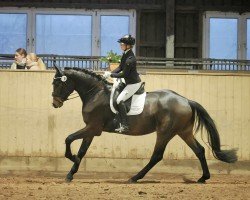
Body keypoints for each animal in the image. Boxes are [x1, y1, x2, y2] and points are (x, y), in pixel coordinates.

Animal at [51, 67, 237, 183]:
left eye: (58, 83)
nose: (55, 103)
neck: (95, 93)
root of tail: (186, 100)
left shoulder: (93, 128)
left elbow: (68, 139)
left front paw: (72, 159)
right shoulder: (91, 130)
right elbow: (82, 151)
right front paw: (70, 174)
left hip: (165, 132)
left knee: (157, 156)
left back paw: (135, 177)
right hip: (184, 132)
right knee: (199, 150)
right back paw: (203, 178)